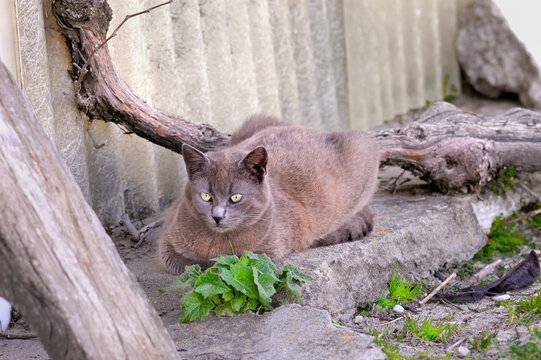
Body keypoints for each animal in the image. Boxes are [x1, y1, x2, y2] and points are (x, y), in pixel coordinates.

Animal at [158, 115, 380, 272]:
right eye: (206, 196)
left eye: (235, 197)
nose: (217, 216)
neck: (215, 242)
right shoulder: (166, 239)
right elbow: (181, 263)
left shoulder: (265, 252)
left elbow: (233, 261)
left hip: (361, 151)